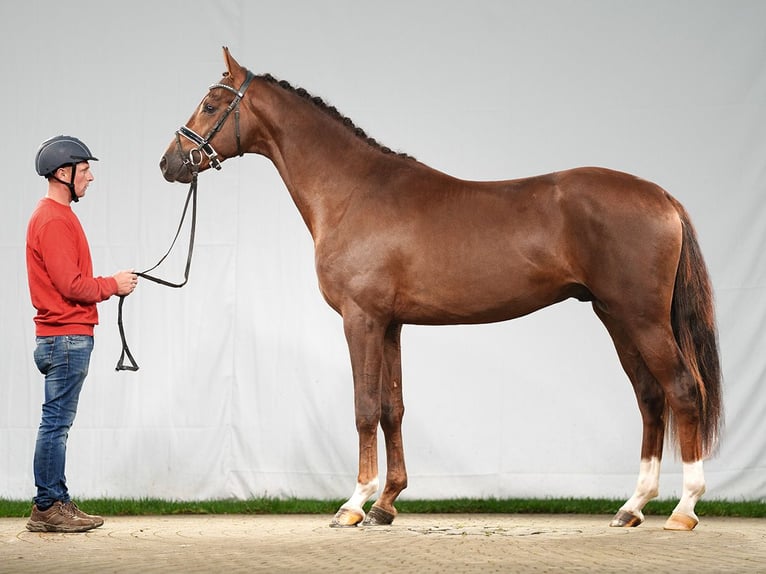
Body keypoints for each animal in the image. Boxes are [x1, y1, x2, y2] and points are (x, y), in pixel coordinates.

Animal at [159, 47, 724, 532]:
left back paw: (684, 508)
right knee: (650, 397)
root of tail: (661, 196)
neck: (353, 191)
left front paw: (354, 504)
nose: (169, 163)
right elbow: (392, 409)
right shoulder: (390, 324)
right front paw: (387, 503)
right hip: (614, 315)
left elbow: (364, 407)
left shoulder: (361, 319)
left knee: (682, 390)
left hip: (641, 318)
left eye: (211, 104)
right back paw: (632, 507)